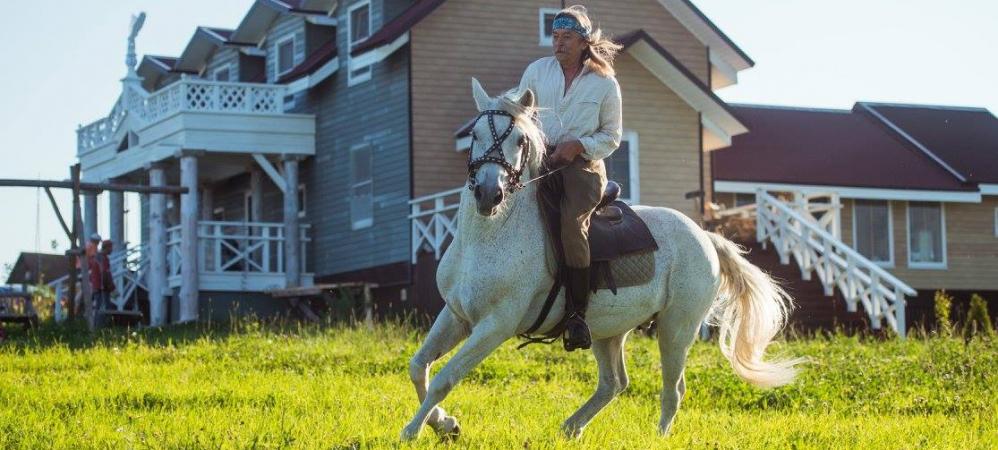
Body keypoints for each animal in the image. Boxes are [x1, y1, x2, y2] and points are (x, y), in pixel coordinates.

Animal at [402, 80, 800, 440]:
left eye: (520, 142)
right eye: (476, 134)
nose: (489, 194)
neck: (490, 236)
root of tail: (705, 236)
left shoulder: (495, 325)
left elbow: (444, 378)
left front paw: (412, 430)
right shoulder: (456, 315)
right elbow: (419, 366)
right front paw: (445, 425)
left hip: (677, 328)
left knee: (672, 389)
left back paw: (656, 437)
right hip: (609, 331)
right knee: (614, 383)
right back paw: (570, 427)